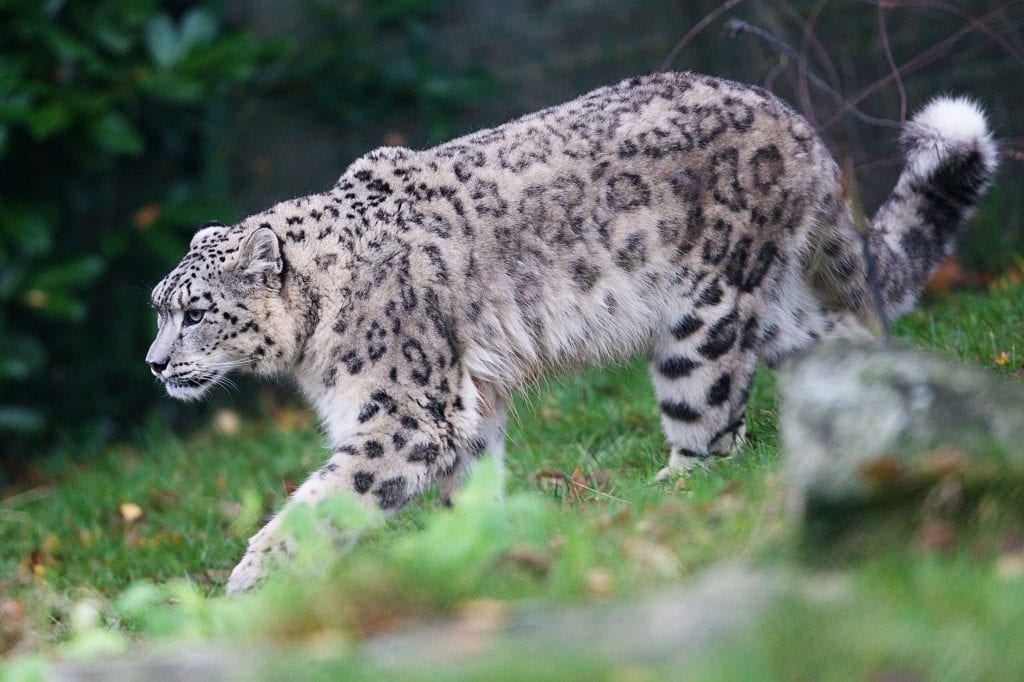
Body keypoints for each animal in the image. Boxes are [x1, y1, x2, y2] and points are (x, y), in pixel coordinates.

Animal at [148, 73, 995, 589]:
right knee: (843, 340)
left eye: (195, 312)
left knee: (712, 430)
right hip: (780, 306)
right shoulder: (467, 408)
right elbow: (469, 483)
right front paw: (475, 546)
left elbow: (327, 498)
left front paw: (251, 581)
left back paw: (661, 498)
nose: (154, 364)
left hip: (704, 318)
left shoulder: (405, 412)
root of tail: (797, 123)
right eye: (158, 305)